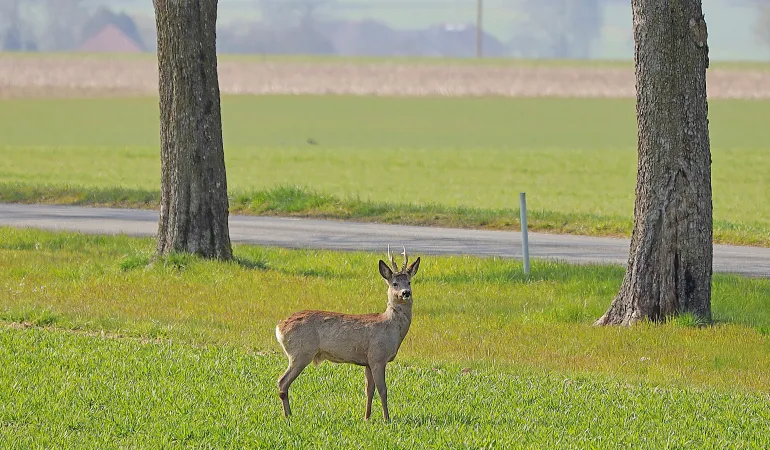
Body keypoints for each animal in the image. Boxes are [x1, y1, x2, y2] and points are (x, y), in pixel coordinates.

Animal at [274, 246, 420, 422]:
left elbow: (369, 390)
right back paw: (288, 415)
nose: (406, 293)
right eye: (395, 283)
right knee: (282, 382)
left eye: (409, 281)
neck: (391, 327)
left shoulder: (367, 362)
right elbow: (383, 390)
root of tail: (279, 327)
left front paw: (366, 417)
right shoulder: (378, 357)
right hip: (301, 353)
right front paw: (387, 419)